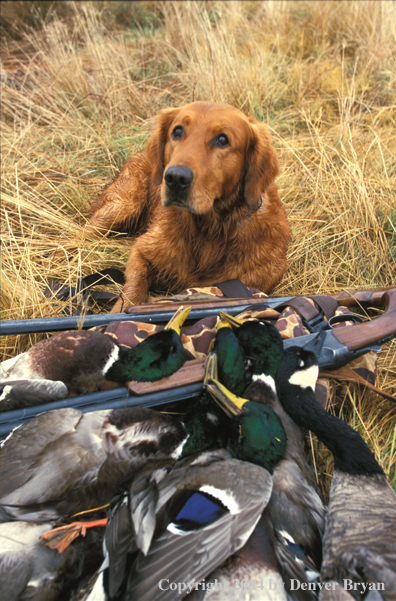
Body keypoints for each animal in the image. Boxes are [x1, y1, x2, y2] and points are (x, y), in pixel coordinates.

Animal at [87, 101, 290, 312]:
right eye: (177, 132)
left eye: (222, 140)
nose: (175, 178)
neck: (208, 230)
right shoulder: (142, 249)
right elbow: (133, 286)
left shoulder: (263, 273)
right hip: (124, 207)